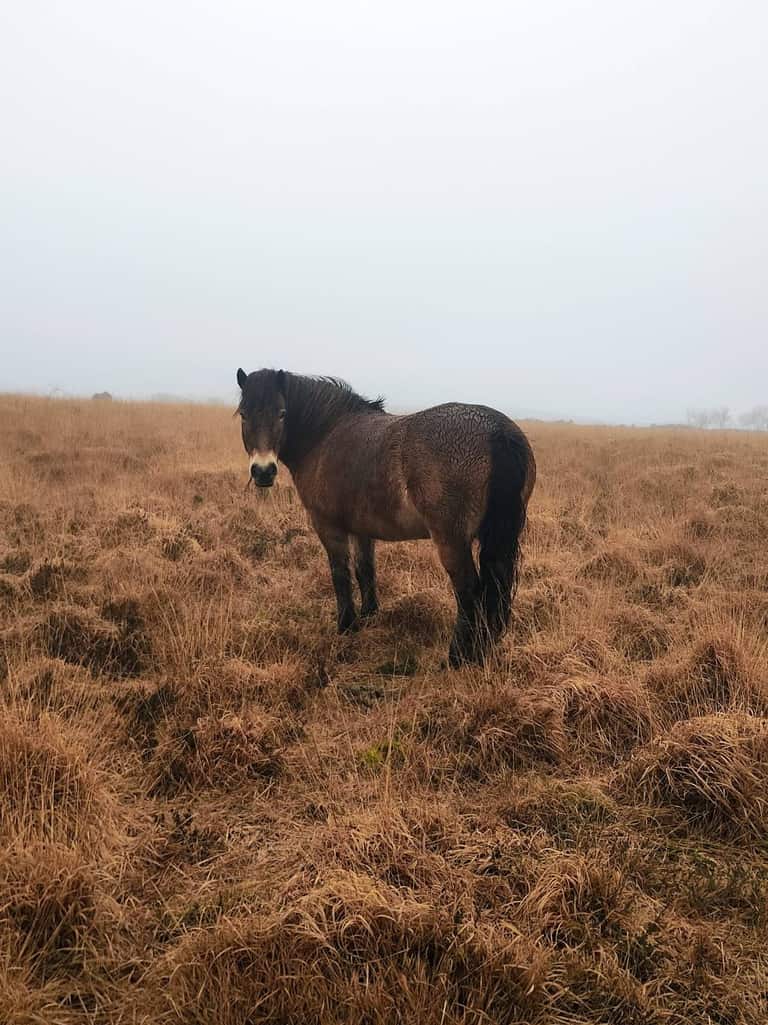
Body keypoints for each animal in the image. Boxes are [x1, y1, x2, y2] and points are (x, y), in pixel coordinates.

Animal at [236, 368, 536, 667]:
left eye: (282, 413)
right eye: (244, 414)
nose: (263, 471)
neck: (326, 435)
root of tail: (497, 432)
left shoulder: (328, 527)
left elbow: (340, 574)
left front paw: (346, 625)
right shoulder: (361, 529)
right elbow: (365, 570)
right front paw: (369, 615)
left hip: (451, 541)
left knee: (469, 592)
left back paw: (456, 658)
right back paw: (483, 650)